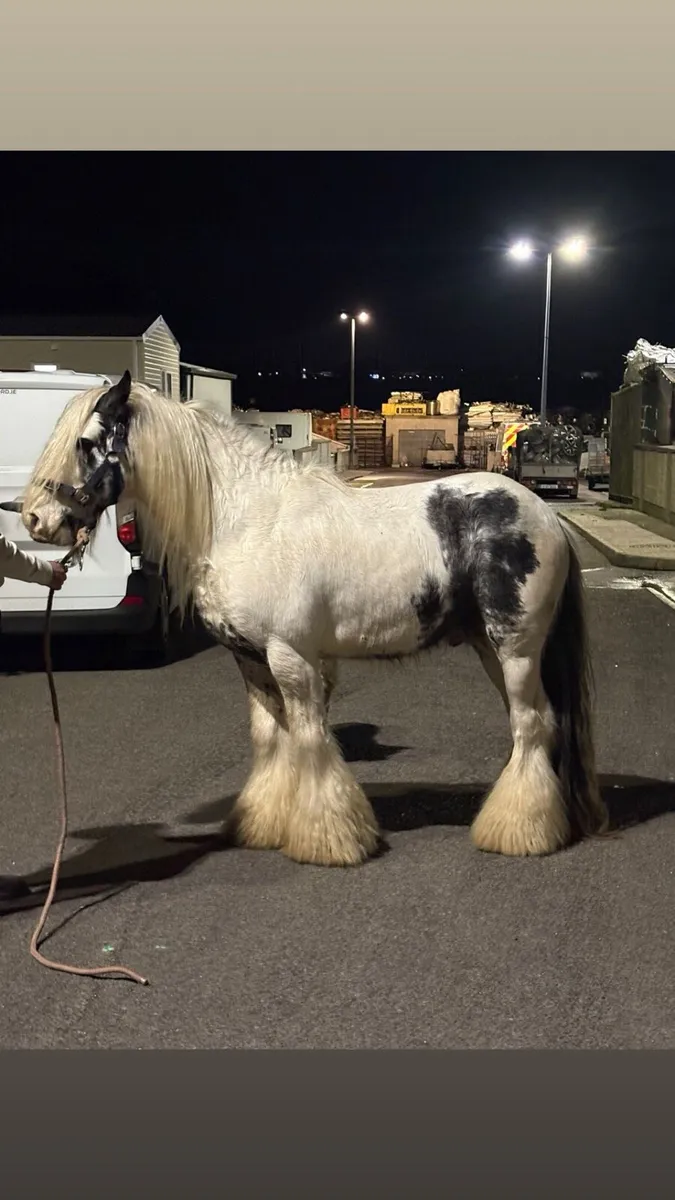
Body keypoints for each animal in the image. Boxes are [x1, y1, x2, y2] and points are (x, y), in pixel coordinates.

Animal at [18, 370, 608, 867]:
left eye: (85, 443)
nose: (34, 519)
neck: (246, 520)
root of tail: (546, 514)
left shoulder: (292, 656)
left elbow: (308, 738)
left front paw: (327, 839)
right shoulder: (251, 661)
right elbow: (270, 740)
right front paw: (264, 823)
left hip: (516, 649)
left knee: (530, 724)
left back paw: (518, 832)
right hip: (491, 648)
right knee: (538, 723)